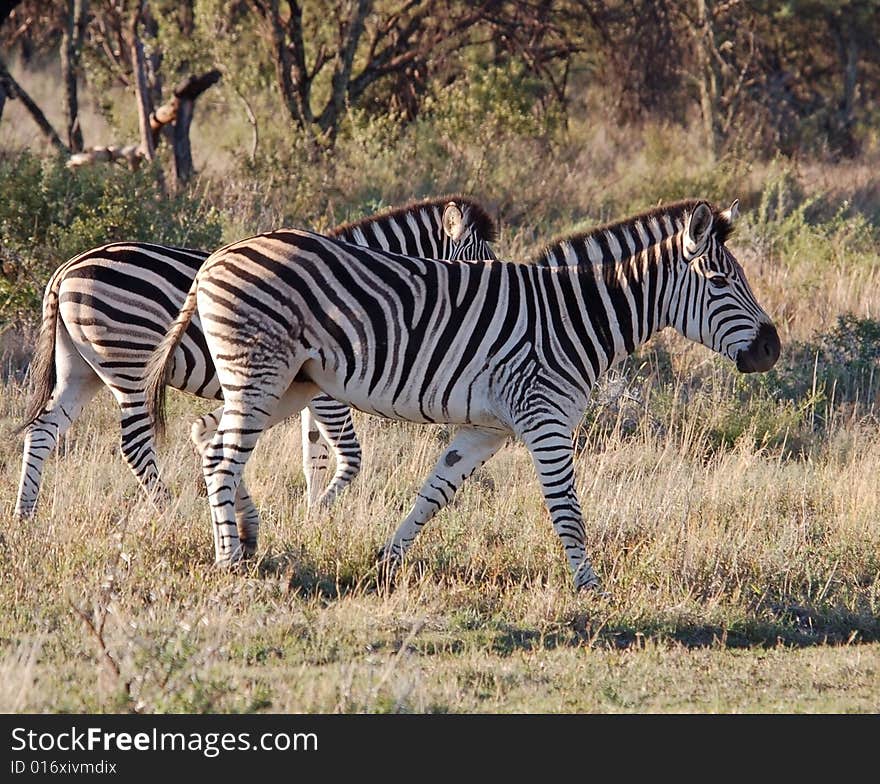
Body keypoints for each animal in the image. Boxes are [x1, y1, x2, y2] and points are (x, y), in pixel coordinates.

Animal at [13, 194, 498, 532]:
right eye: (480, 266)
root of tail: (66, 270)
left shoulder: (313, 392)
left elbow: (314, 455)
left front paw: (311, 517)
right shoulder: (328, 391)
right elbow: (350, 456)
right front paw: (320, 514)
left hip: (81, 370)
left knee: (43, 430)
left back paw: (24, 516)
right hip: (129, 364)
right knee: (133, 445)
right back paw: (171, 511)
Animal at [146, 199, 784, 592]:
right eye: (721, 282)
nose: (772, 349)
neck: (574, 317)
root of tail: (215, 258)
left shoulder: (487, 429)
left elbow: (435, 492)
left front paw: (385, 564)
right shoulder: (545, 419)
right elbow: (567, 509)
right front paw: (591, 588)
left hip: (283, 383)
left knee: (209, 440)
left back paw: (243, 542)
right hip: (261, 375)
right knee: (223, 457)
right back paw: (230, 560)